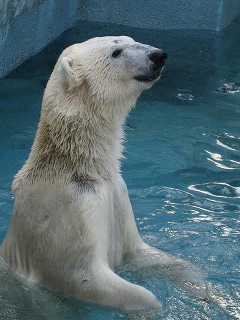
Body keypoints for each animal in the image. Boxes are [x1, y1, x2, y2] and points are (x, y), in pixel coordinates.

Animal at [0, 36, 206, 312]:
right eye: (116, 51)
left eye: (131, 39)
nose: (158, 55)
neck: (77, 165)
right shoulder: (68, 210)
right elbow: (81, 276)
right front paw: (153, 307)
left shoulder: (116, 196)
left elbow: (138, 252)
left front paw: (202, 286)